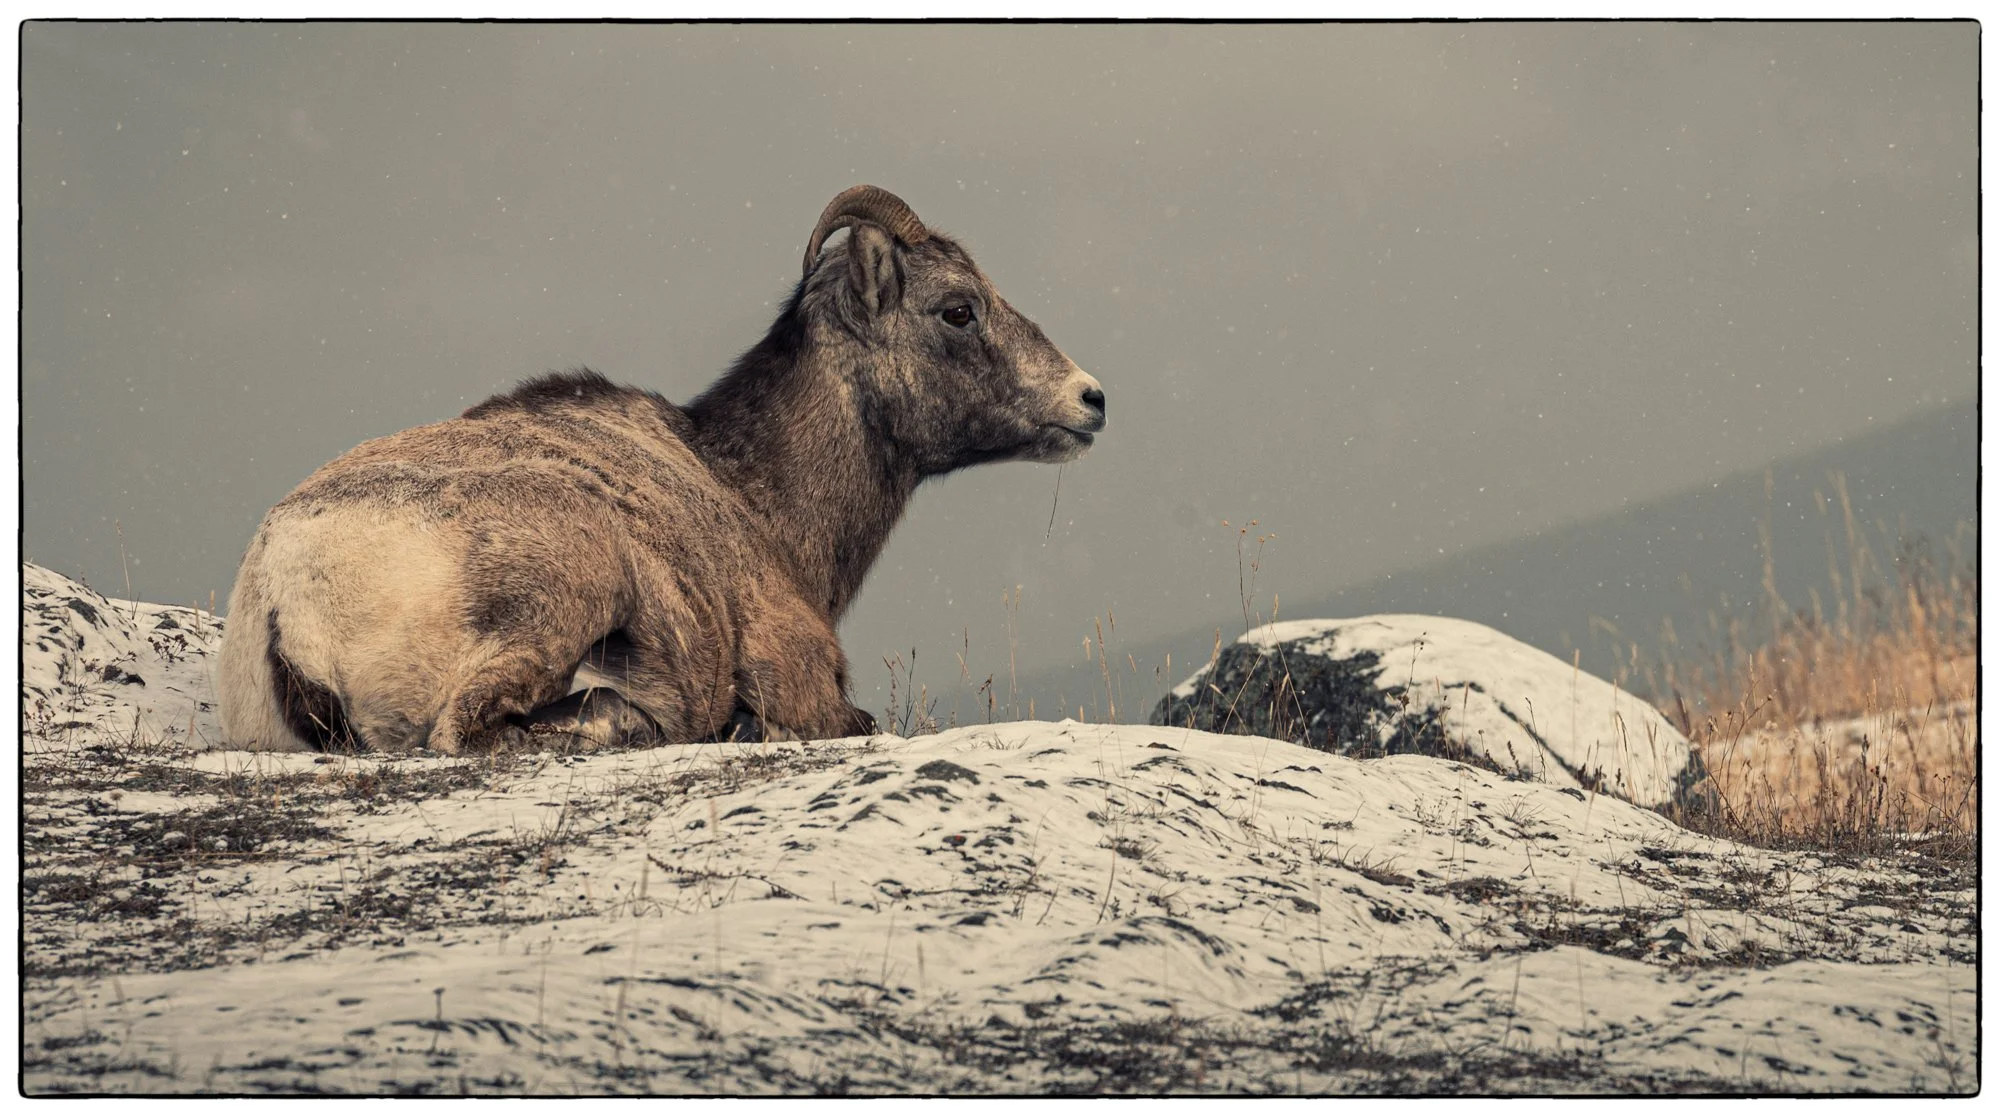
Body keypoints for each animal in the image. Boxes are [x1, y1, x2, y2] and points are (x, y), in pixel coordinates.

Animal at [216, 186, 1106, 753]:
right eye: (958, 309)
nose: (1090, 399)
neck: (758, 502)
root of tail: (286, 593)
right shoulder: (803, 677)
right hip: (566, 587)